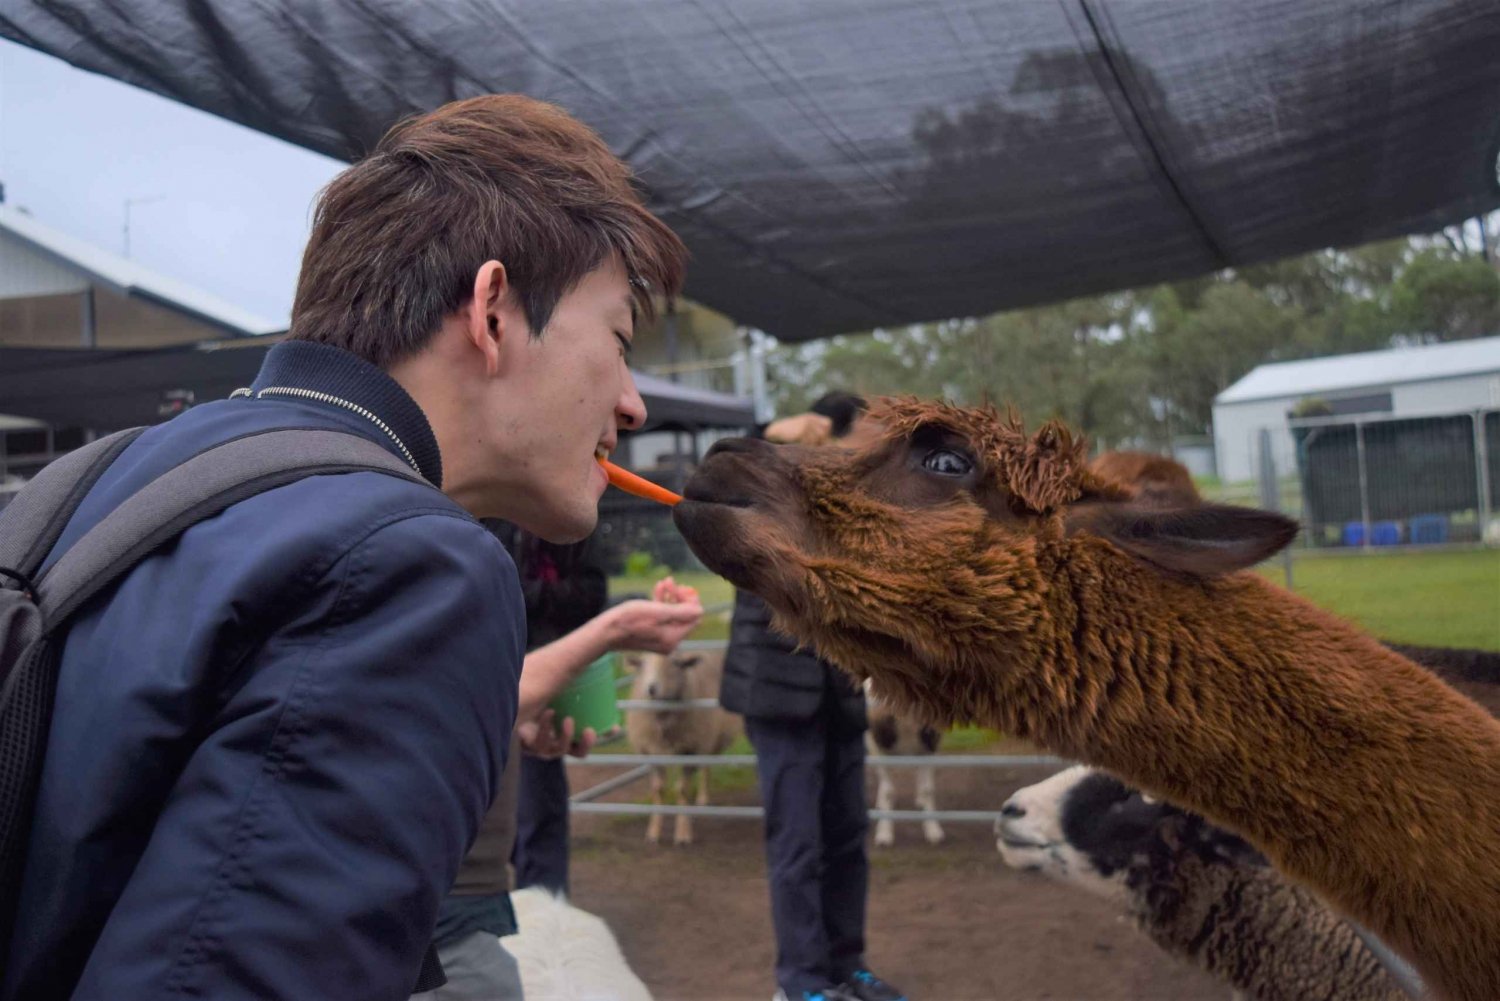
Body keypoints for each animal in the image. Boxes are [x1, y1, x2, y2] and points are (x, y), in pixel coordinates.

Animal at [621, 651, 738, 846]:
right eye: (642, 664)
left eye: (676, 663)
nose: (651, 688)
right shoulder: (651, 753)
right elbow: (658, 790)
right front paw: (653, 832)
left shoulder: (690, 751)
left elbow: (682, 790)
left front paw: (683, 834)